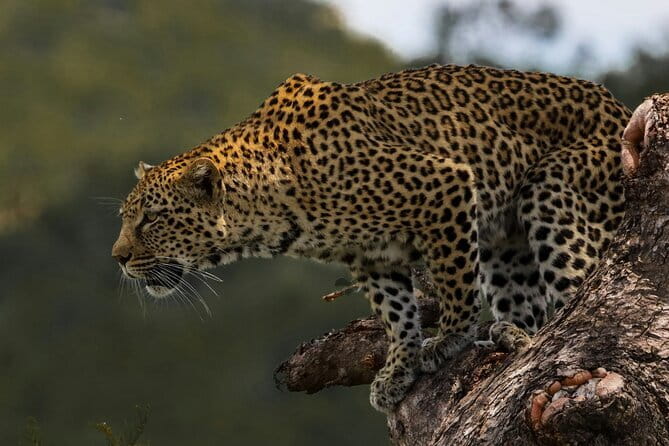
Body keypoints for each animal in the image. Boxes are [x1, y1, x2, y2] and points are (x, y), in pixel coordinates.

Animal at [112, 64, 630, 413]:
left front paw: (448, 339)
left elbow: (455, 282)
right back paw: (512, 334)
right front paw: (398, 367)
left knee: (586, 301)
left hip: (552, 187)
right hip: (506, 247)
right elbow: (396, 313)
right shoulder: (372, 255)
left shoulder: (445, 185)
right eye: (126, 218)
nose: (118, 257)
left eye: (151, 219)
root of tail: (622, 106)